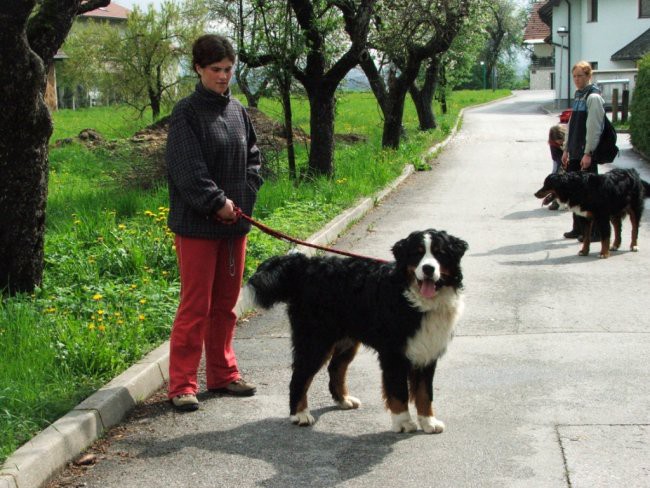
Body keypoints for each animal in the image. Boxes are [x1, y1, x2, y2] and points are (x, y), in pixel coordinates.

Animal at [244, 229, 466, 434]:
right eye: (417, 254)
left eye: (439, 253)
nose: (428, 268)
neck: (415, 301)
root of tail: (305, 265)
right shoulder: (394, 354)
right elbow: (399, 391)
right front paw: (403, 423)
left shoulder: (427, 350)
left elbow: (424, 393)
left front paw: (428, 422)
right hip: (315, 340)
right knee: (300, 376)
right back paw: (300, 414)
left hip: (346, 340)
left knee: (335, 368)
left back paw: (343, 400)